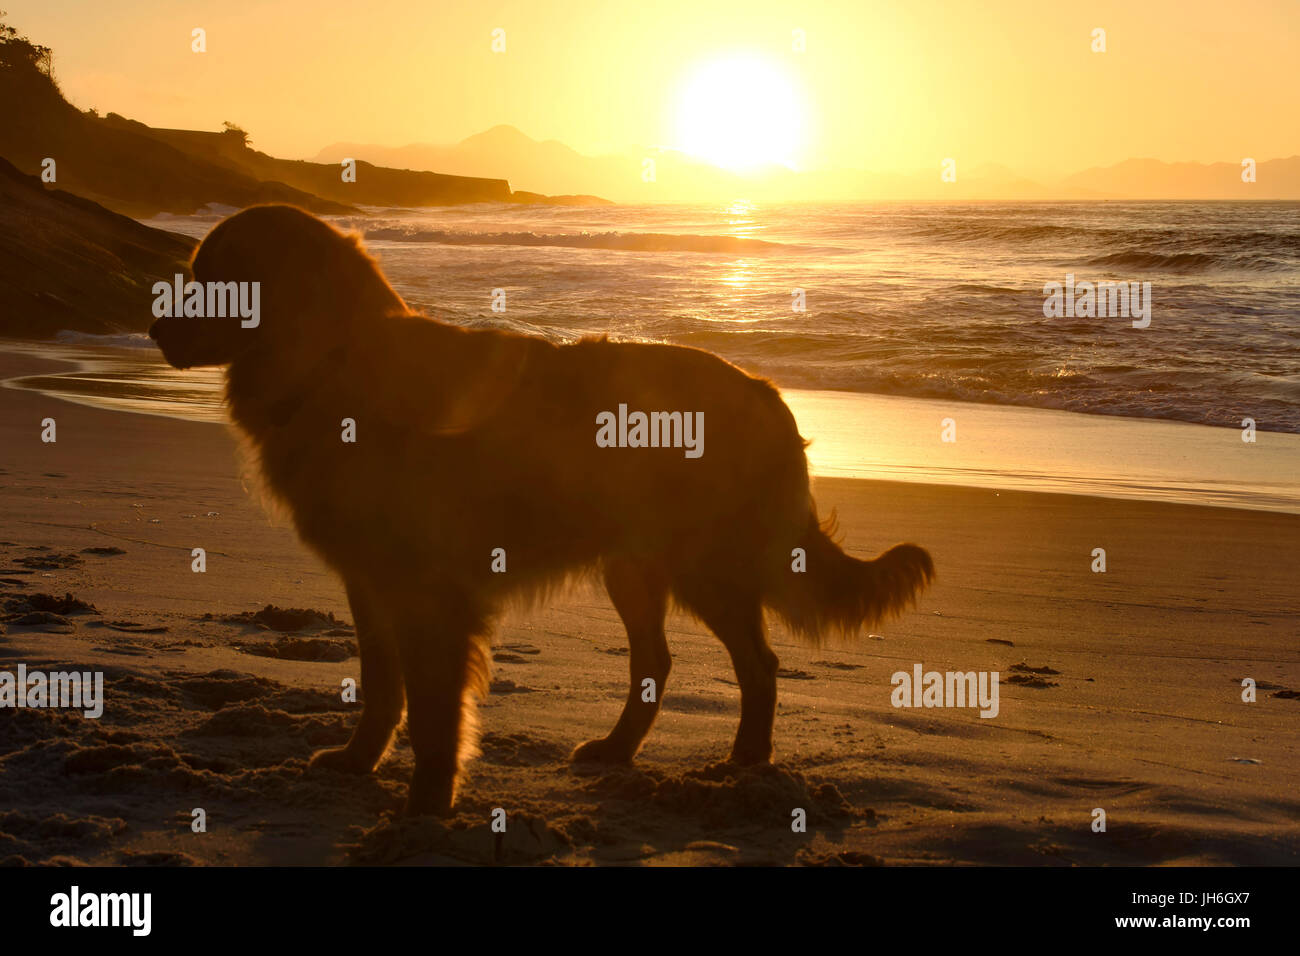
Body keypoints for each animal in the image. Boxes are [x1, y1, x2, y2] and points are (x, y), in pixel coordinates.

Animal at [147, 208, 930, 816]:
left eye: (218, 279)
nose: (155, 330)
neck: (336, 366)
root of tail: (765, 391)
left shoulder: (431, 591)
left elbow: (433, 710)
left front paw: (427, 804)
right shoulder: (369, 582)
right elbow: (381, 687)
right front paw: (359, 760)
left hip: (704, 564)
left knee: (759, 665)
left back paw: (744, 762)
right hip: (633, 567)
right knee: (658, 661)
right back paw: (618, 749)